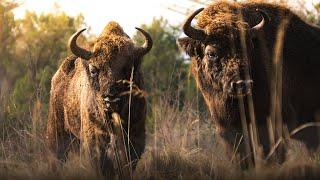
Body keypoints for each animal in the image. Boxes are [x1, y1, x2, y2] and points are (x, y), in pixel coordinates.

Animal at [46, 21, 152, 176]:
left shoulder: (135, 136)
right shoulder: (94, 141)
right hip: (57, 132)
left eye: (129, 68)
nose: (111, 100)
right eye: (94, 69)